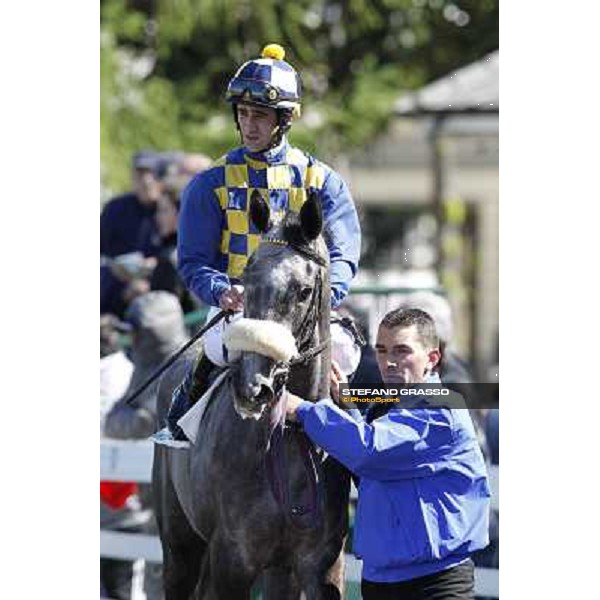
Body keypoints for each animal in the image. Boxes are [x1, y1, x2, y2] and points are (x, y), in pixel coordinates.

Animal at [152, 192, 354, 600]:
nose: (252, 388)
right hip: (180, 546)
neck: (288, 435)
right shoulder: (232, 557)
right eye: (246, 280)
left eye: (303, 291)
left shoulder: (321, 564)